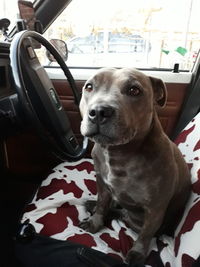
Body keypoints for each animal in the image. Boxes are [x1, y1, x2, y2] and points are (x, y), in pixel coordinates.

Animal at [78, 67, 191, 266]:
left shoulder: (155, 209)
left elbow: (145, 235)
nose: (99, 111)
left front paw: (137, 254)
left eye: (134, 90)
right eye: (89, 87)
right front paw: (95, 222)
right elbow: (101, 205)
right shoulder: (102, 184)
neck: (119, 154)